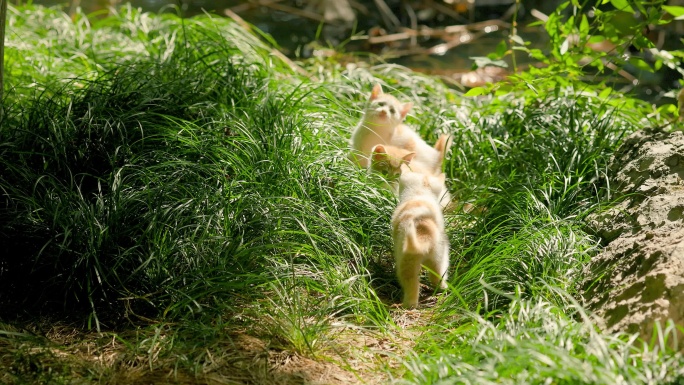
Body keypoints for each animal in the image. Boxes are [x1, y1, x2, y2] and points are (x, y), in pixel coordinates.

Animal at [390, 160, 448, 308]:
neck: (419, 193)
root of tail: (424, 234)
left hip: (407, 262)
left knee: (412, 284)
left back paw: (407, 305)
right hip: (439, 258)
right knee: (438, 278)